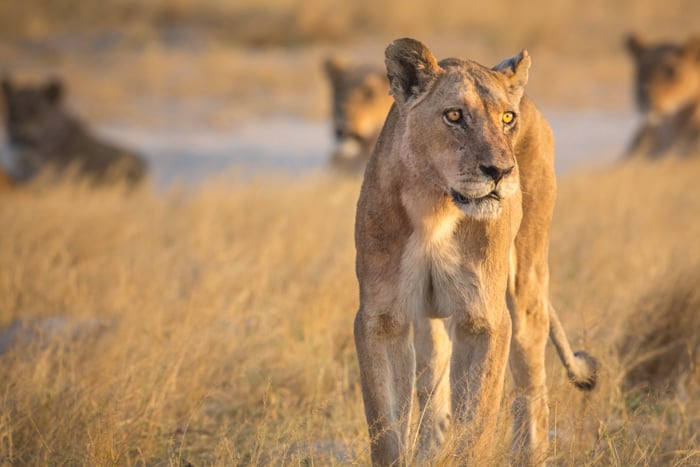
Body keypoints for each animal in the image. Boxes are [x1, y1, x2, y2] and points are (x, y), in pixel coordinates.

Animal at [354, 38, 597, 466]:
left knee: (532, 392)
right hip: (430, 320)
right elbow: (386, 431)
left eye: (506, 118)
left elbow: (477, 426)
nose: (500, 171)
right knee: (434, 391)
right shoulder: (380, 319)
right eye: (454, 115)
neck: (434, 206)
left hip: (527, 286)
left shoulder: (485, 318)